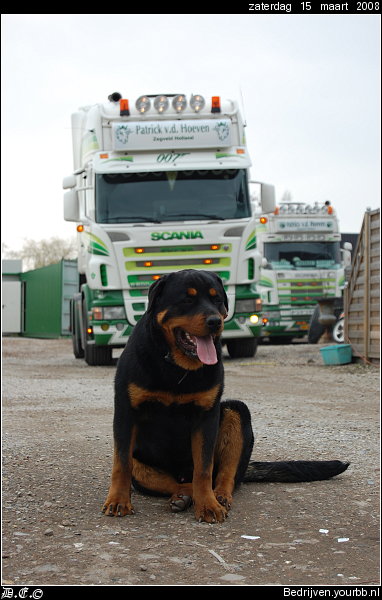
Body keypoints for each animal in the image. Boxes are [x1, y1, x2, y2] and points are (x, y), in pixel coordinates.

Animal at [102, 270, 350, 524]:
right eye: (187, 300)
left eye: (217, 300)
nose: (215, 321)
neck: (176, 369)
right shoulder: (125, 411)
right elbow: (121, 464)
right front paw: (118, 500)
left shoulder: (207, 415)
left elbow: (203, 468)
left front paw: (208, 505)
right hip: (143, 465)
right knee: (172, 481)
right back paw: (182, 497)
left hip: (237, 411)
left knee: (223, 477)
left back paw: (217, 497)